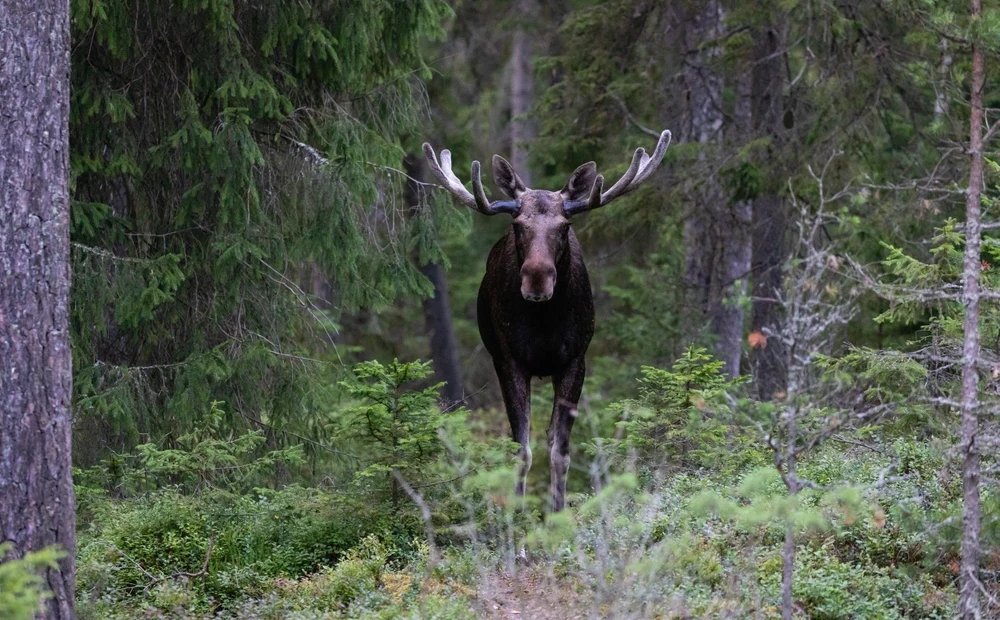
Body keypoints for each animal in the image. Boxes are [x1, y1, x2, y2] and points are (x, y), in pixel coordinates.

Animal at [422, 130, 672, 508]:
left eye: (565, 225)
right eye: (517, 225)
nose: (537, 279)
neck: (544, 325)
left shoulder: (575, 360)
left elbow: (560, 451)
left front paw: (557, 514)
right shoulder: (509, 361)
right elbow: (521, 450)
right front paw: (518, 518)